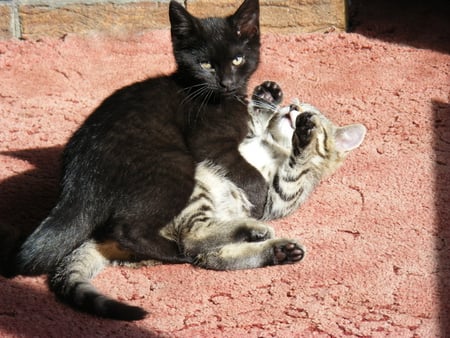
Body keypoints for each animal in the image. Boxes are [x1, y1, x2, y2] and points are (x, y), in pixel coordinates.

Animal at [48, 81, 366, 320]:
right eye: (293, 104)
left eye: (312, 112)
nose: (295, 109)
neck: (274, 145)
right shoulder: (238, 142)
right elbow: (251, 123)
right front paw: (265, 98)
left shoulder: (279, 198)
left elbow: (295, 167)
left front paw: (304, 136)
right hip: (195, 185)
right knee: (195, 246)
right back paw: (262, 238)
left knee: (199, 248)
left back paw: (273, 246)